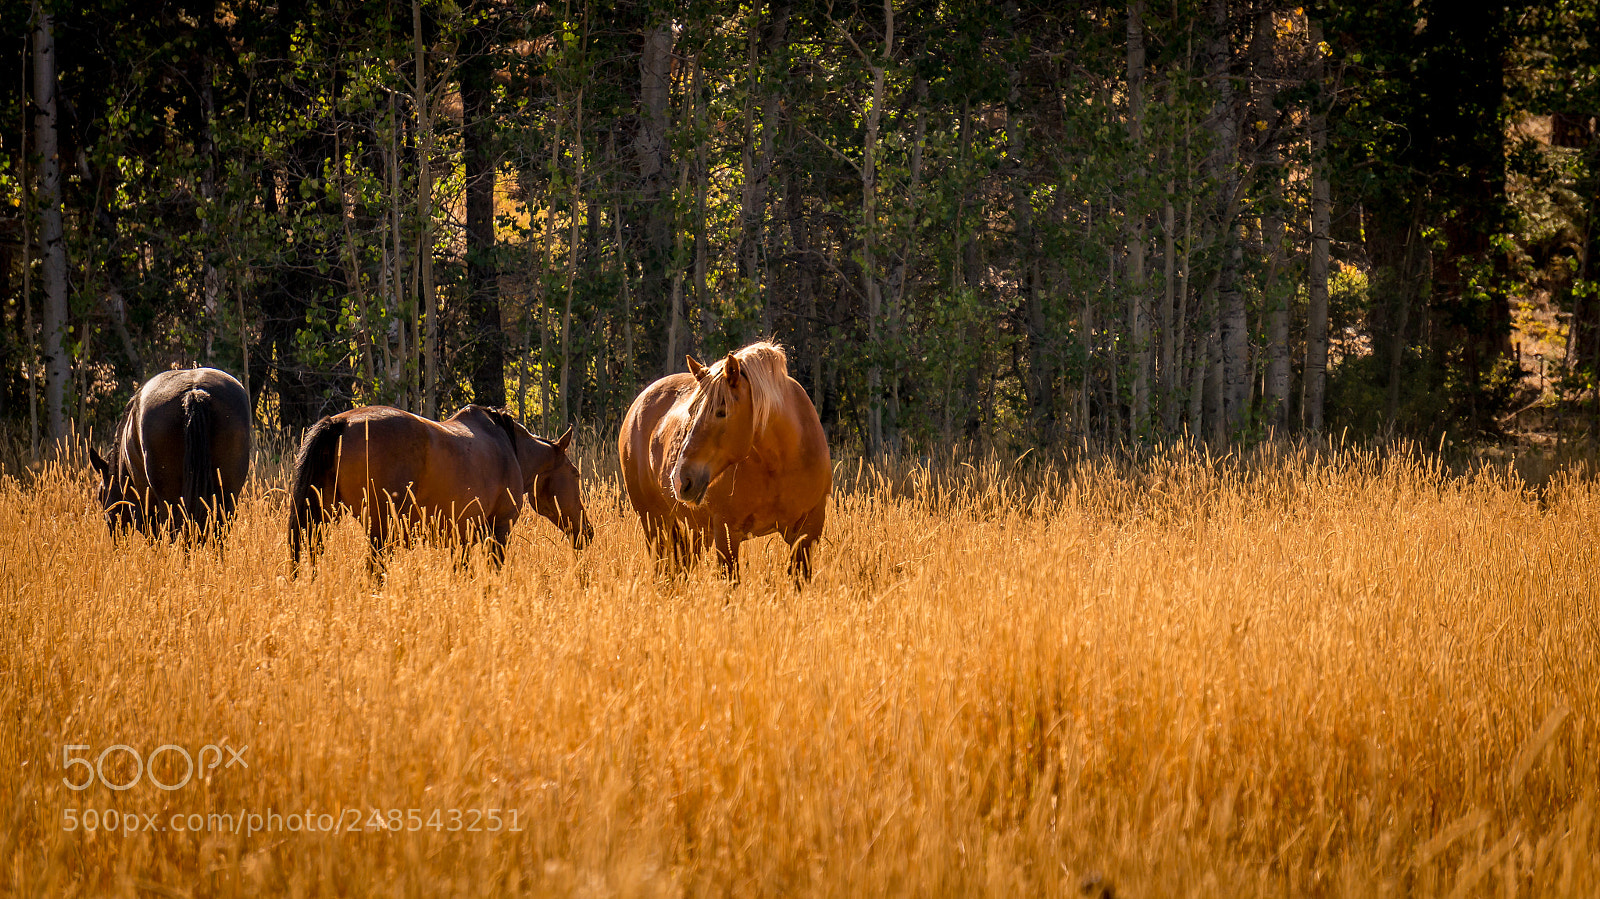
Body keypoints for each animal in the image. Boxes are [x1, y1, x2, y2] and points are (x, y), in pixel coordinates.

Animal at [88, 367, 253, 540]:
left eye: (100, 495)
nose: (113, 531)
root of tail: (194, 393)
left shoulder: (142, 506)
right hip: (227, 495)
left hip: (168, 499)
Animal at [287, 404, 591, 575]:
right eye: (575, 474)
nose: (587, 531)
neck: (510, 449)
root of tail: (341, 423)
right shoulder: (499, 530)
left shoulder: (462, 537)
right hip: (380, 531)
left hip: (322, 516)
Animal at [619, 341, 830, 581]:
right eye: (691, 412)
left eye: (721, 411)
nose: (680, 480)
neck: (780, 464)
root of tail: (639, 403)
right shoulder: (727, 533)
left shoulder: (808, 532)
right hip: (655, 521)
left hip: (695, 530)